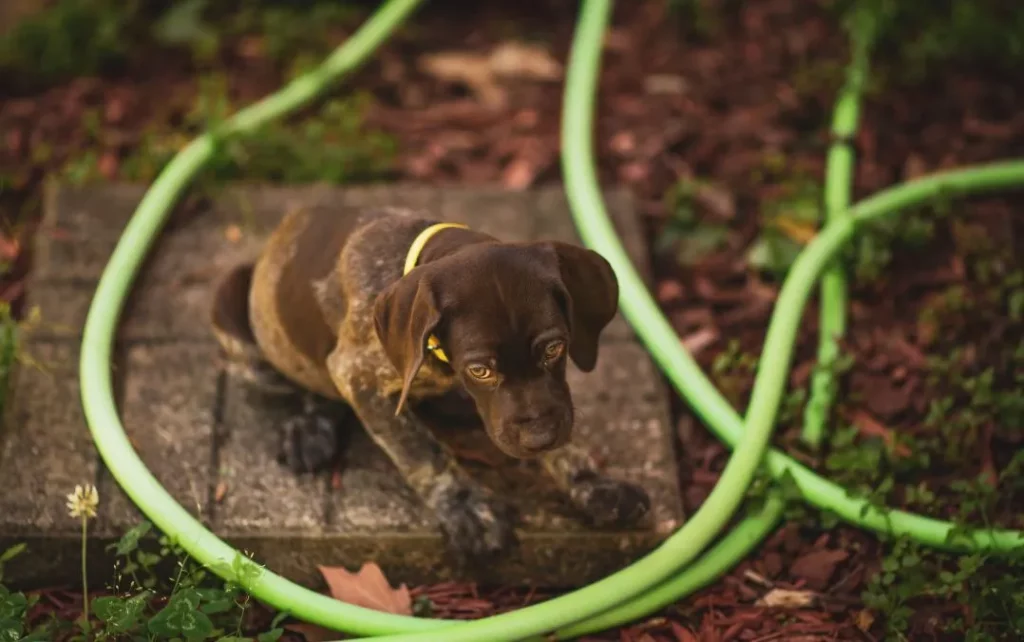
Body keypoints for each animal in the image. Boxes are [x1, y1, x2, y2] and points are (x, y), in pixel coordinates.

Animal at [211, 201, 651, 561]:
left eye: (555, 348)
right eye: (481, 369)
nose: (539, 439)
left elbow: (561, 429)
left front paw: (593, 483)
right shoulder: (358, 376)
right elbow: (421, 450)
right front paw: (467, 507)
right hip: (234, 315)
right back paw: (309, 429)